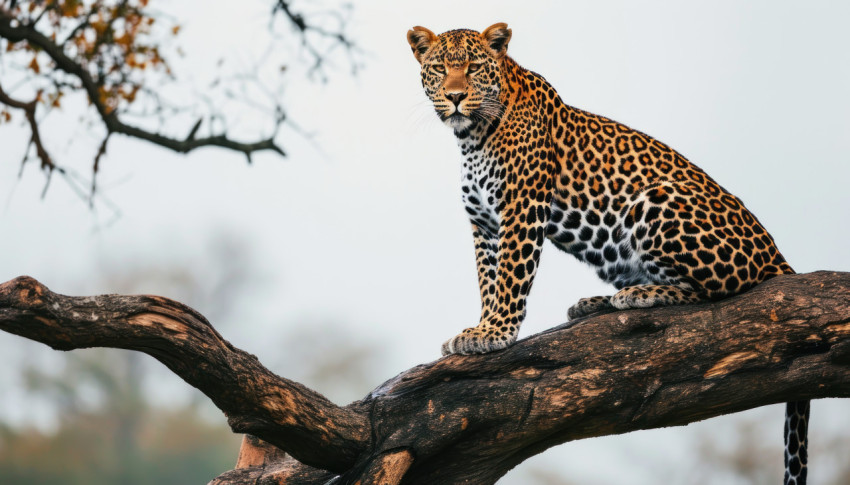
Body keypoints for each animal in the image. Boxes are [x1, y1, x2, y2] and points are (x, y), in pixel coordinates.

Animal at [410, 22, 808, 484]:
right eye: (440, 69)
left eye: (473, 68)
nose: (456, 96)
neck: (472, 138)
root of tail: (774, 251)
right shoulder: (484, 225)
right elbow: (488, 282)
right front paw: (481, 328)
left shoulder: (521, 211)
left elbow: (510, 279)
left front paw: (495, 334)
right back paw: (596, 302)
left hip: (655, 199)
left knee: (718, 291)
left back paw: (640, 295)